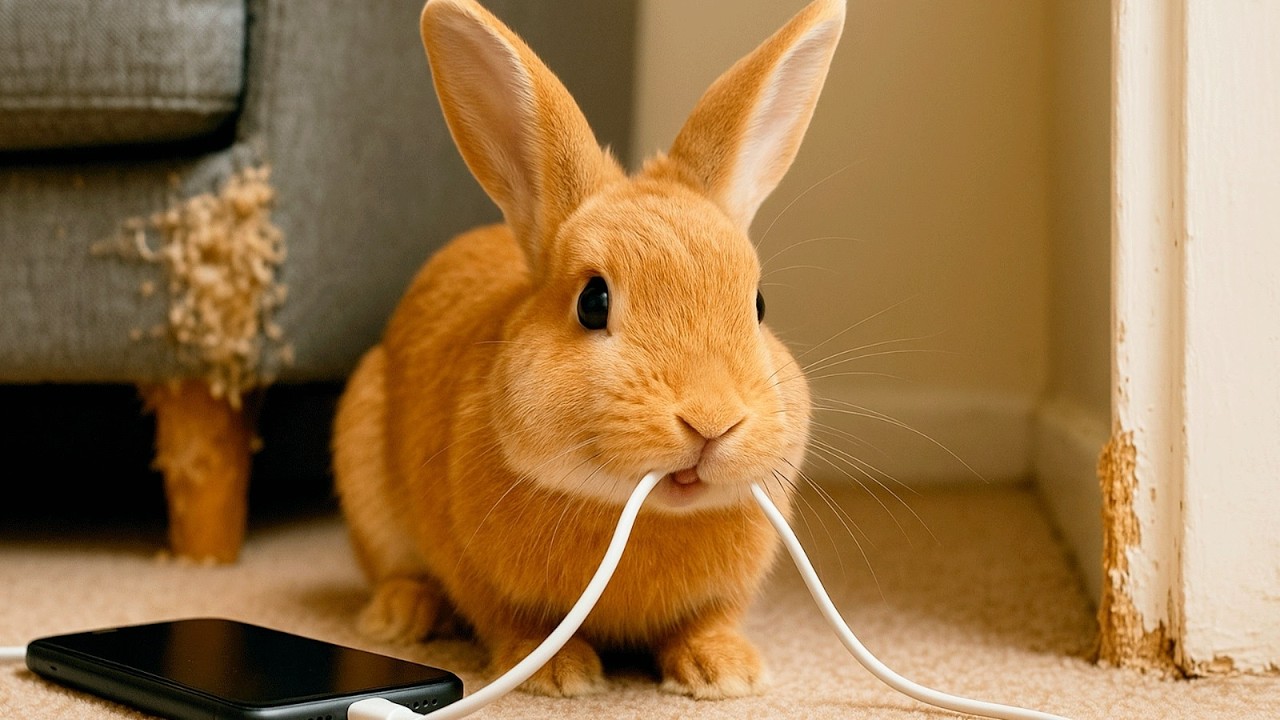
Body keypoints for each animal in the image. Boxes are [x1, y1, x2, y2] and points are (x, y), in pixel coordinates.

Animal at [333, 0, 844, 700]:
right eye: (593, 302)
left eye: (759, 305)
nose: (712, 421)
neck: (643, 513)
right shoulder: (483, 579)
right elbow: (513, 622)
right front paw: (560, 674)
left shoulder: (725, 593)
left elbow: (706, 622)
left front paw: (726, 673)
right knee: (396, 572)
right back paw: (401, 616)